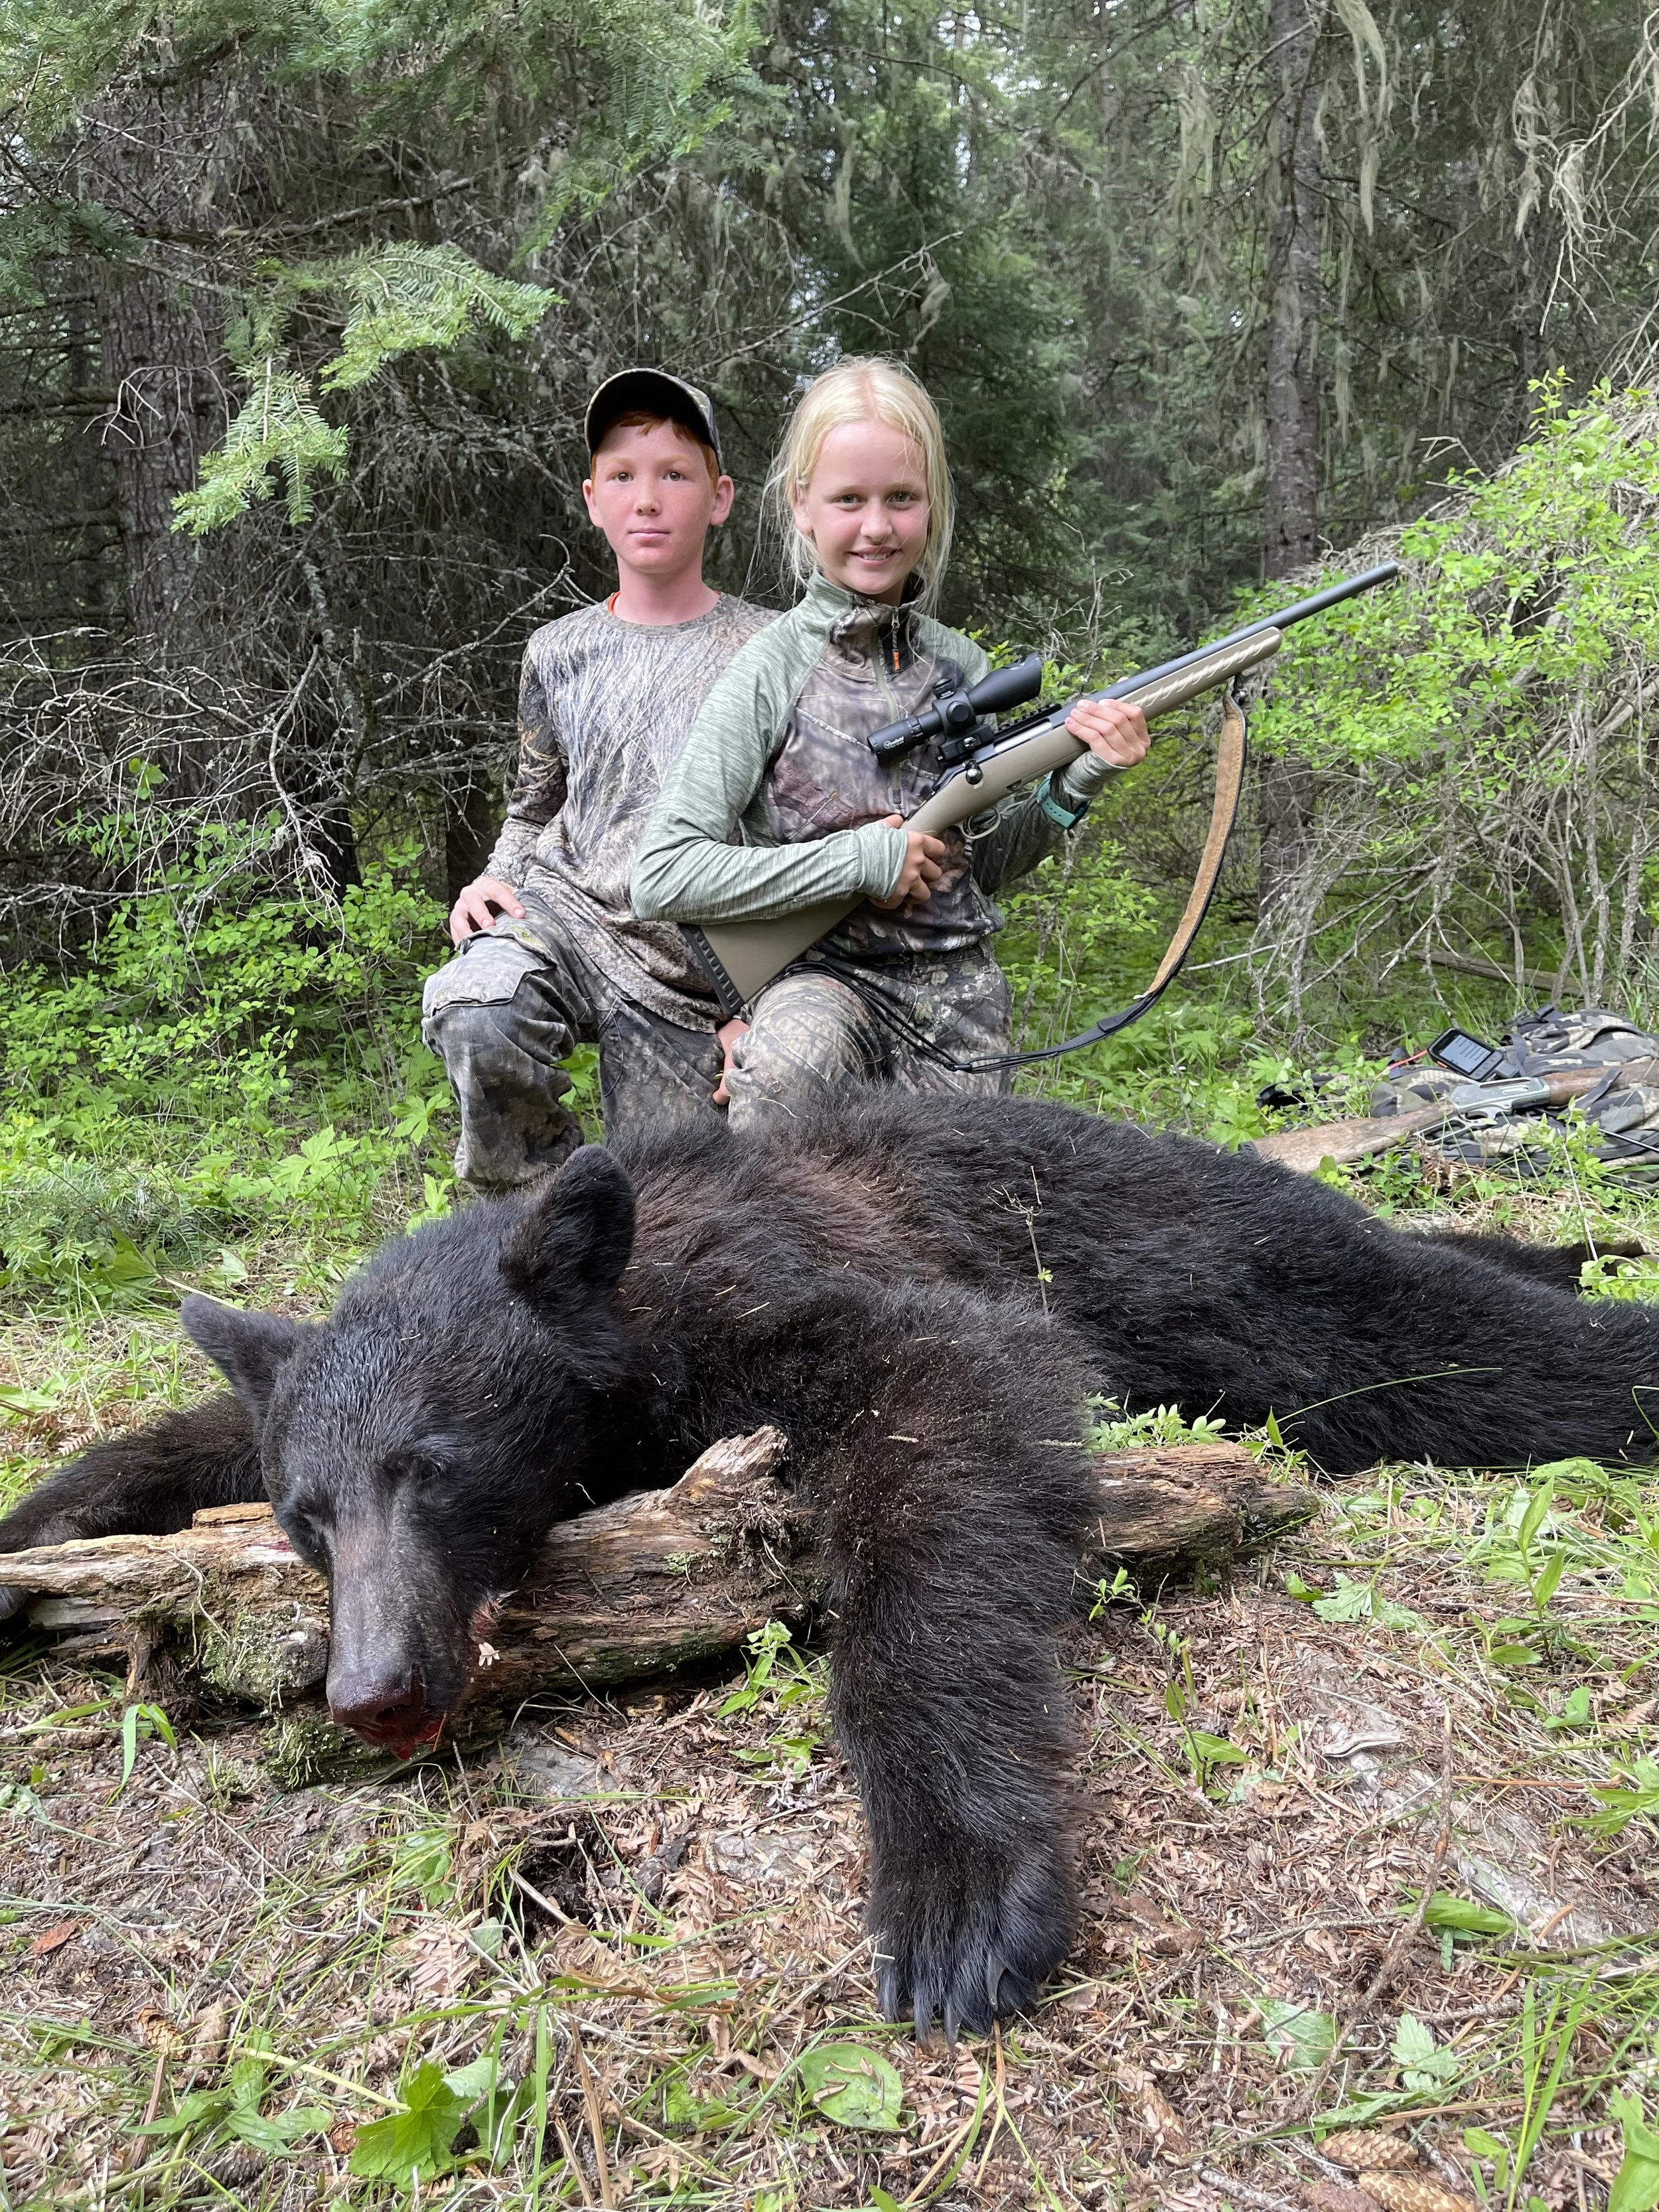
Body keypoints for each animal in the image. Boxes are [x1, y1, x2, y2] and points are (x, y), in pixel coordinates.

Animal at [2, 1088, 1657, 2039]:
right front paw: (39, 1534)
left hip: (1184, 1253)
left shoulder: (783, 1304)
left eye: (439, 1466)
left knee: (1419, 1328)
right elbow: (193, 1425)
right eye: (308, 1515)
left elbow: (946, 1412)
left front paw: (955, 1877)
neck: (620, 1296)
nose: (375, 1688)